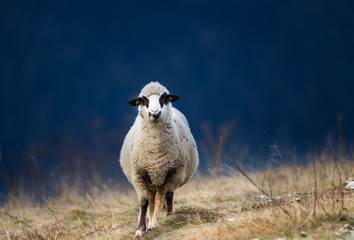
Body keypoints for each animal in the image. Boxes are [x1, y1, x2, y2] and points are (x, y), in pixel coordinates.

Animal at [120, 81, 199, 237]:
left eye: (164, 97)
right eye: (143, 99)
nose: (155, 113)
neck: (155, 150)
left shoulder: (173, 173)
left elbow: (166, 197)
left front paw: (166, 218)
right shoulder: (139, 174)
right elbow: (144, 202)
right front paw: (140, 230)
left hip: (163, 179)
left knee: (164, 197)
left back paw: (159, 220)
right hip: (152, 182)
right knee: (152, 200)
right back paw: (151, 223)